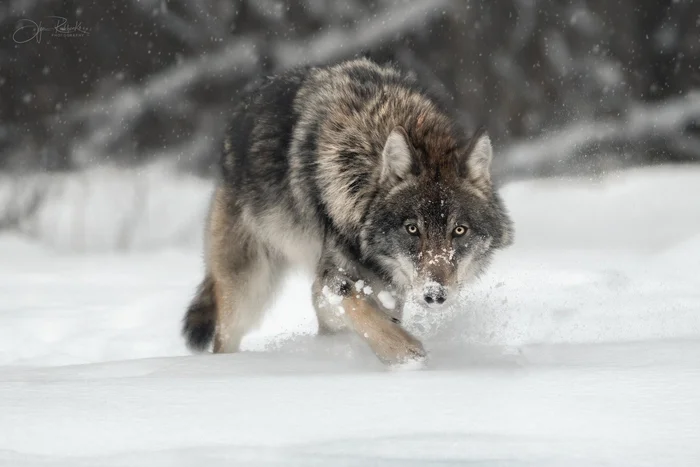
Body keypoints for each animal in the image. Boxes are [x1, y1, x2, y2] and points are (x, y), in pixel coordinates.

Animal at [183, 58, 512, 366]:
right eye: (412, 229)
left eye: (459, 230)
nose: (434, 295)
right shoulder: (330, 282)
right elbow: (370, 318)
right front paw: (410, 359)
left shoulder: (385, 290)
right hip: (248, 290)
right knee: (224, 339)